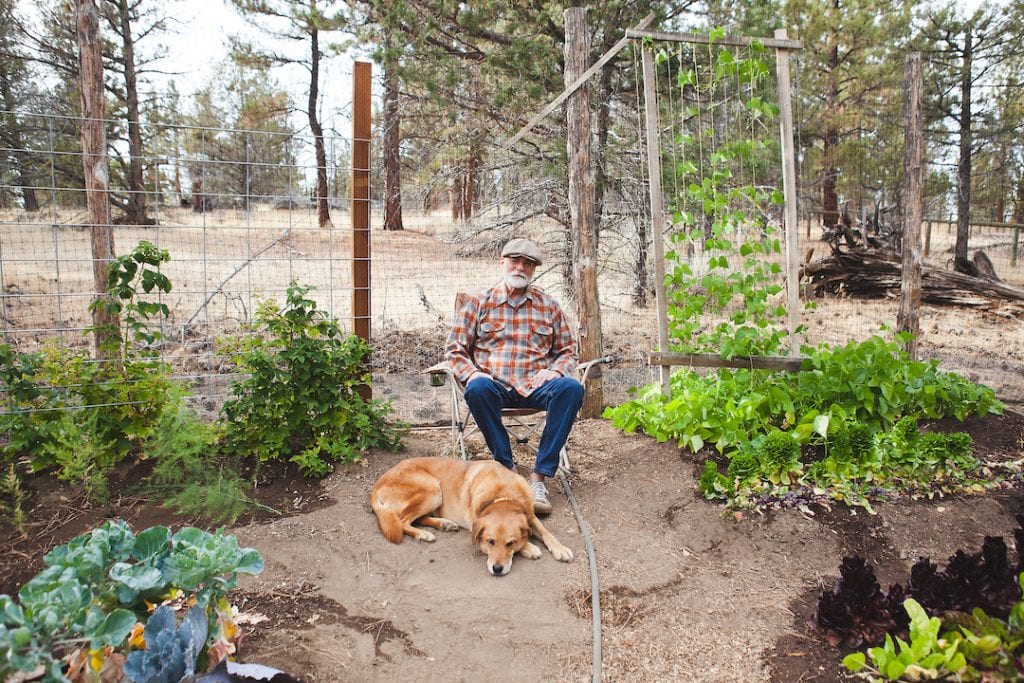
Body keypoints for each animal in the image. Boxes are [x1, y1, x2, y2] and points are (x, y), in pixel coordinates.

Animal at [370, 456, 577, 573]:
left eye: (510, 543)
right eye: (490, 542)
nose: (497, 569)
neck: (503, 495)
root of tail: (377, 484)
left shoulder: (531, 516)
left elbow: (546, 533)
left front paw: (560, 548)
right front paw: (530, 547)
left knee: (415, 518)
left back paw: (444, 524)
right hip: (432, 488)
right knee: (403, 521)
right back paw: (424, 534)